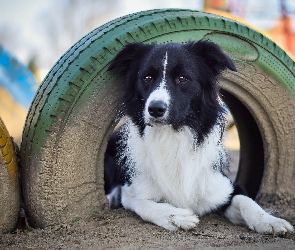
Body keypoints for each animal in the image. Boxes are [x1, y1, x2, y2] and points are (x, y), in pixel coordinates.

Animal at [104, 40, 294, 233]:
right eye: (147, 77)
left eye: (182, 78)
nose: (155, 109)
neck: (172, 136)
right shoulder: (132, 189)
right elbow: (141, 203)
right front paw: (175, 216)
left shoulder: (224, 187)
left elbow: (246, 200)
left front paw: (270, 221)